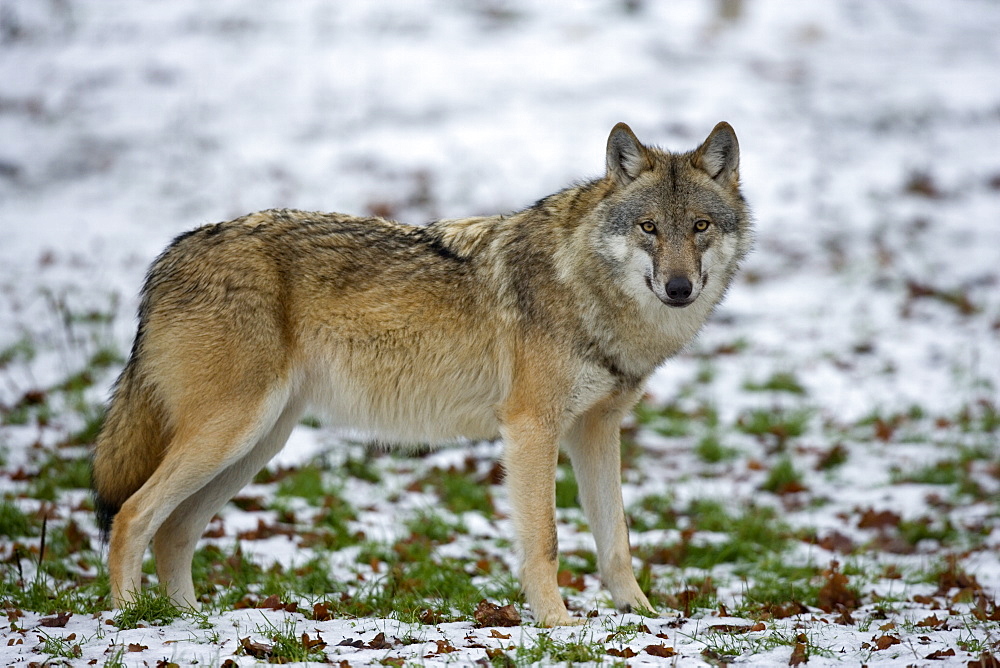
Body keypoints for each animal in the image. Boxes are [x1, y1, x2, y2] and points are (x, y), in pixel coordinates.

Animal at [92, 121, 752, 628]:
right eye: (649, 227)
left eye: (699, 226)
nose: (679, 288)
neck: (583, 284)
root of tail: (168, 257)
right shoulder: (531, 428)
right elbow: (545, 541)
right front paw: (559, 626)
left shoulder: (595, 431)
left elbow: (617, 542)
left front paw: (643, 617)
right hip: (232, 432)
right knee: (131, 517)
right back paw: (134, 622)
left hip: (257, 444)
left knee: (174, 531)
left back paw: (190, 624)